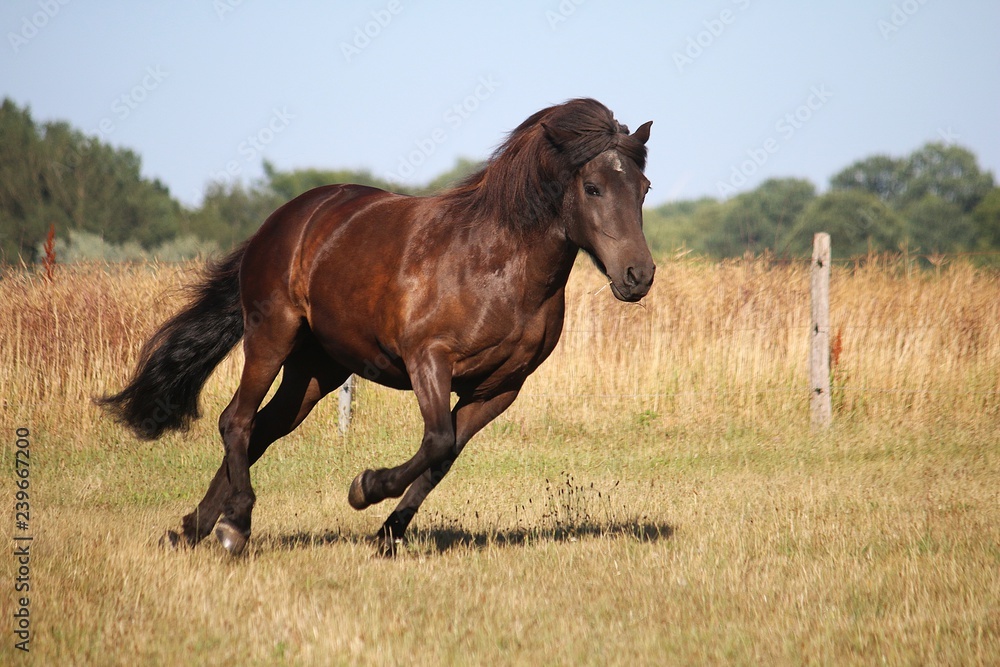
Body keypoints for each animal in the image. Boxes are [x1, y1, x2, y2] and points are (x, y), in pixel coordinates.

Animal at [98, 97, 655, 556]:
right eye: (592, 187)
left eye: (644, 187)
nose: (639, 276)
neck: (498, 265)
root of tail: (280, 221)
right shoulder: (428, 360)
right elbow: (437, 440)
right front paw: (364, 488)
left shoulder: (500, 388)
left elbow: (444, 456)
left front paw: (389, 533)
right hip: (271, 336)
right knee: (235, 420)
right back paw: (235, 524)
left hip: (318, 368)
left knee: (264, 428)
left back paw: (194, 527)